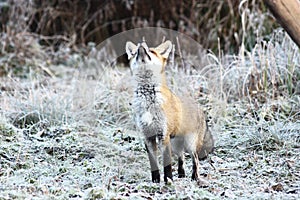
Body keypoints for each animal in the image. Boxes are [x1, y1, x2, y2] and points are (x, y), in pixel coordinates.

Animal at [125, 39, 214, 183]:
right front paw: (155, 181)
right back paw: (182, 174)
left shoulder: (163, 135)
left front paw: (168, 181)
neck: (149, 100)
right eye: (134, 53)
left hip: (189, 144)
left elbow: (167, 164)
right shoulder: (148, 136)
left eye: (152, 51)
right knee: (181, 158)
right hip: (176, 145)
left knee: (195, 160)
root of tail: (199, 108)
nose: (141, 45)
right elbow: (154, 163)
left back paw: (194, 177)